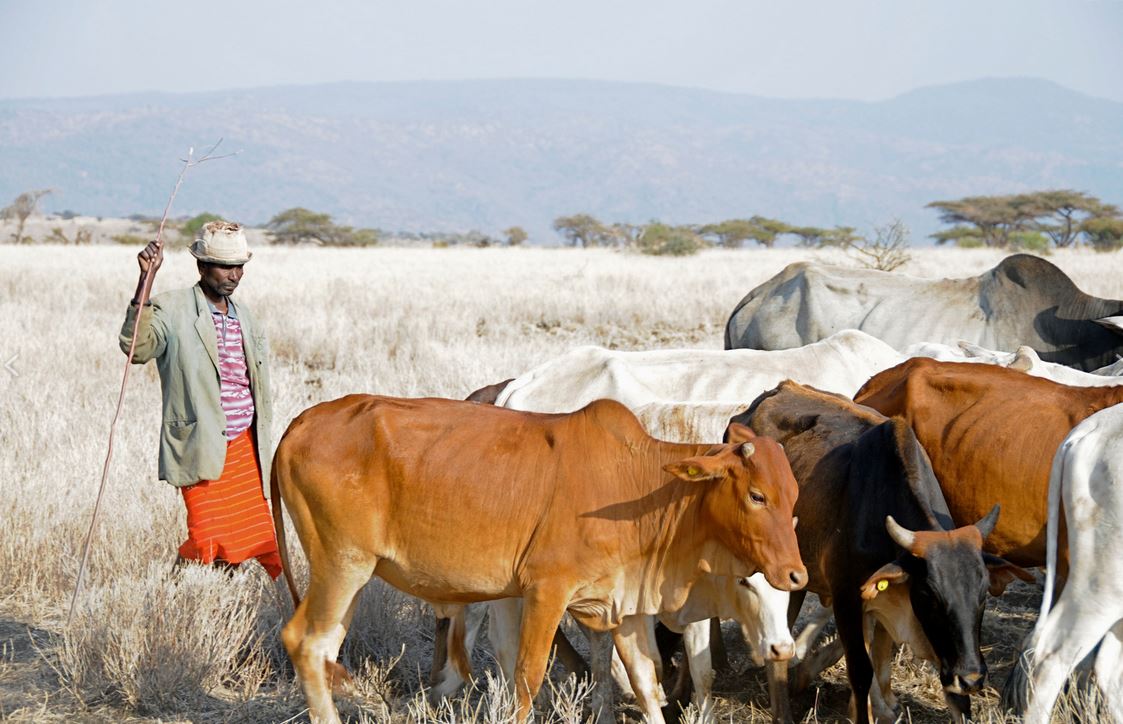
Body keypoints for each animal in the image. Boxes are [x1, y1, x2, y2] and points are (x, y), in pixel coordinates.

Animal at [271, 395, 808, 722]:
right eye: (757, 496)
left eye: (794, 496)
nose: (795, 574)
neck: (637, 480)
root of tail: (299, 425)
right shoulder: (546, 592)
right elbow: (528, 678)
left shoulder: (624, 606)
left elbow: (646, 682)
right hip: (342, 566)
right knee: (306, 643)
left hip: (350, 579)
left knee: (325, 651)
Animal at [732, 381, 1028, 718]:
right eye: (930, 595)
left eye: (982, 595)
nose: (972, 677)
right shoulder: (847, 598)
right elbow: (861, 671)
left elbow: (948, 695)